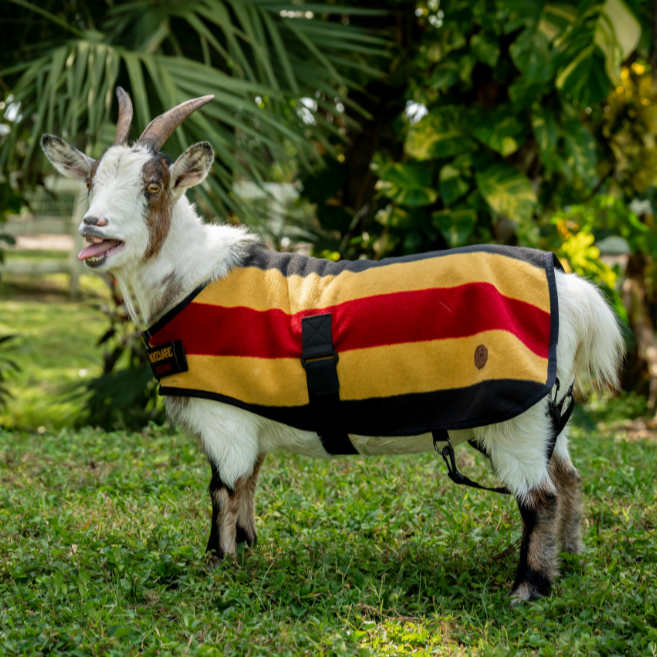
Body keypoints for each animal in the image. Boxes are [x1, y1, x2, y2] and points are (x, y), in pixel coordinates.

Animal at [41, 88, 624, 603]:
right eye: (91, 180)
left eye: (154, 185)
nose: (93, 224)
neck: (190, 279)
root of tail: (571, 290)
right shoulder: (249, 415)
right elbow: (248, 485)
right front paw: (248, 552)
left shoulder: (224, 422)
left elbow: (221, 491)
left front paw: (214, 566)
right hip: (545, 417)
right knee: (569, 479)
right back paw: (571, 558)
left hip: (514, 421)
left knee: (540, 497)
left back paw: (529, 587)